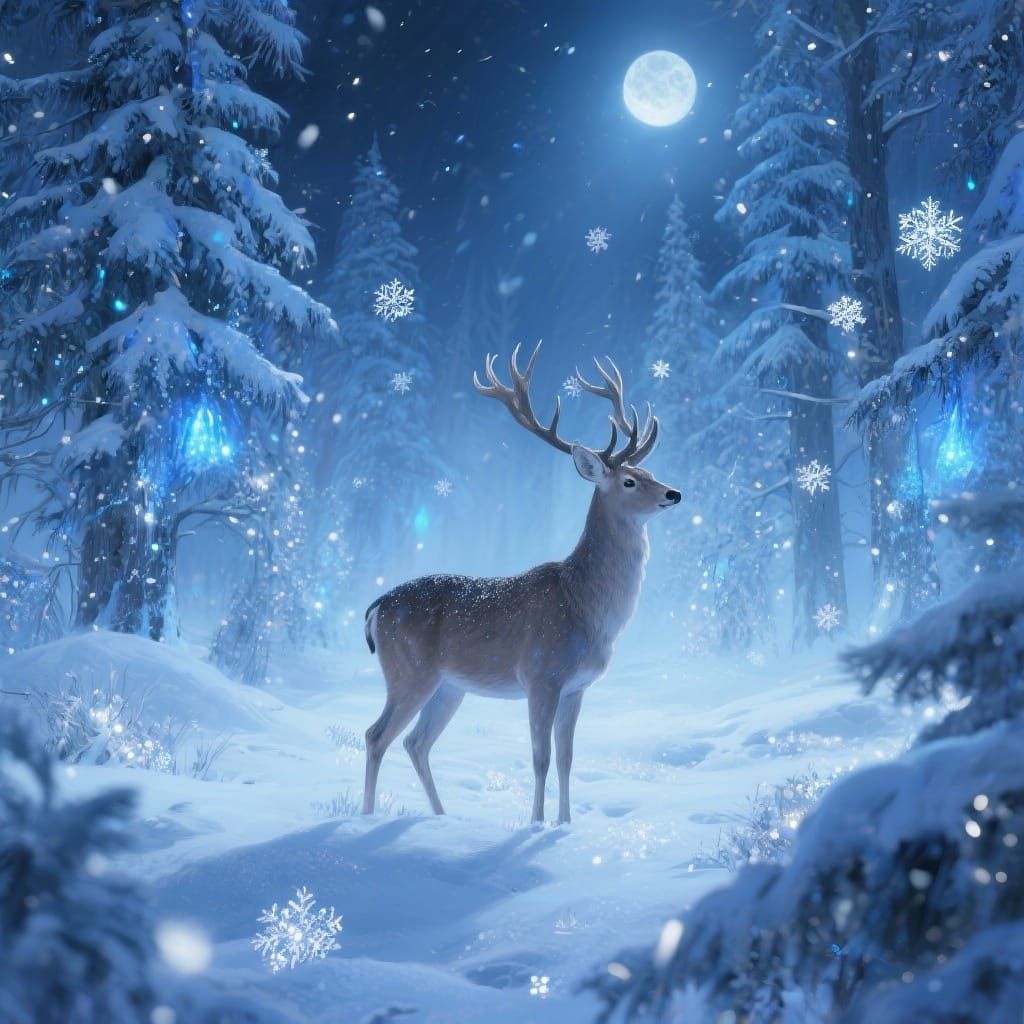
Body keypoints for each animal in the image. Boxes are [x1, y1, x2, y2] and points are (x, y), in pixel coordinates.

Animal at [361, 342, 680, 823]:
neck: (585, 606)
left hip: (449, 685)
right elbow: (540, 757)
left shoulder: (576, 687)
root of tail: (376, 606)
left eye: (651, 472)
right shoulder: (540, 675)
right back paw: (364, 817)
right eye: (629, 481)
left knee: (416, 742)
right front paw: (536, 822)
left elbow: (567, 757)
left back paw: (441, 816)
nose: (674, 493)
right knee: (376, 735)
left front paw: (566, 823)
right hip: (408, 671)